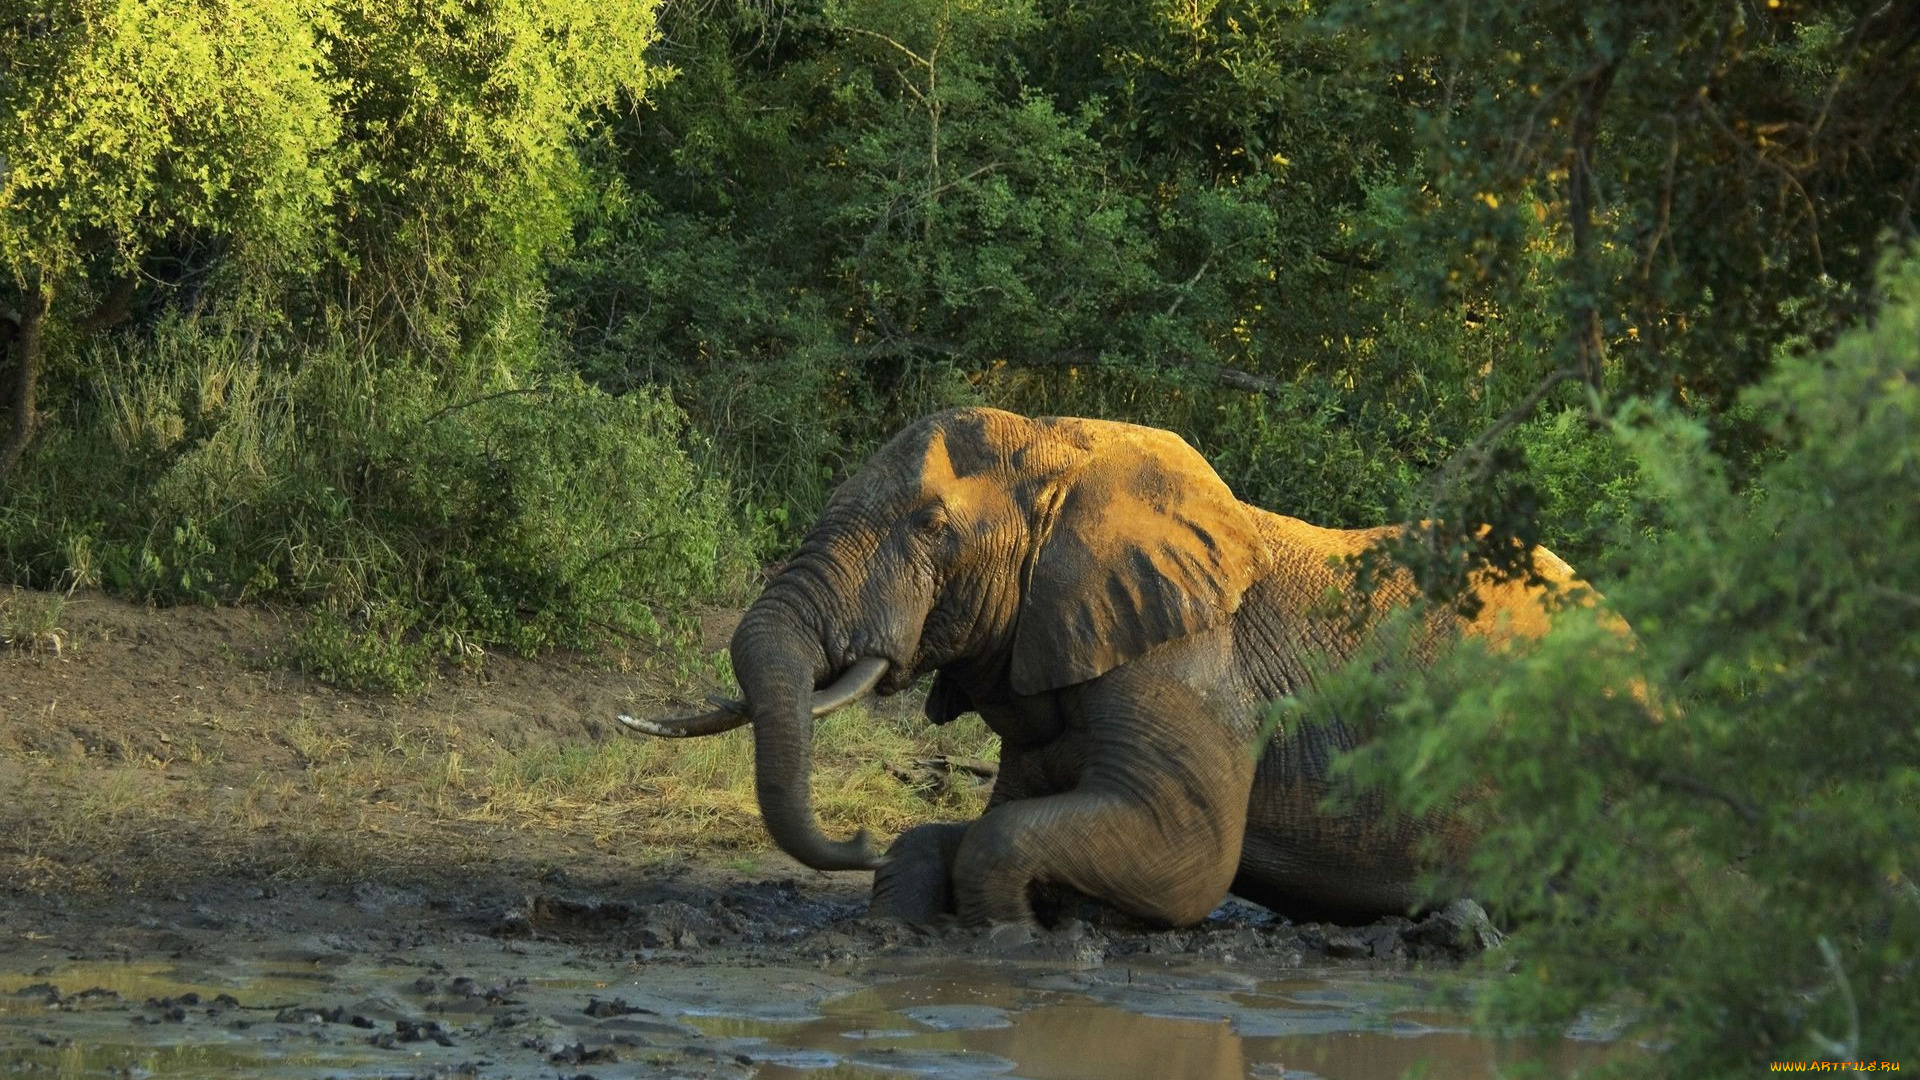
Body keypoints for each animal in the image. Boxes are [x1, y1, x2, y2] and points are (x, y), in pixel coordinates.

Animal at [625, 403, 1589, 926]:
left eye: (933, 526)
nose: (852, 838)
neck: (1065, 447)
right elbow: (981, 825)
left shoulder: (1190, 663)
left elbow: (1185, 852)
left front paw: (1016, 934)